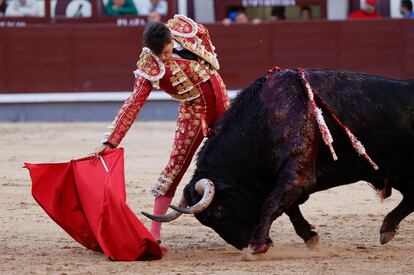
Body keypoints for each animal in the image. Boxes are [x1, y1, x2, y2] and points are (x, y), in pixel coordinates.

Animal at [143, 69, 414, 254]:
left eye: (219, 210)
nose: (244, 244)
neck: (265, 118)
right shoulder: (287, 179)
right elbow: (287, 208)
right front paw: (310, 237)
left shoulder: (295, 174)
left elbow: (271, 204)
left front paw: (258, 247)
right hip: (399, 172)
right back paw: (387, 229)